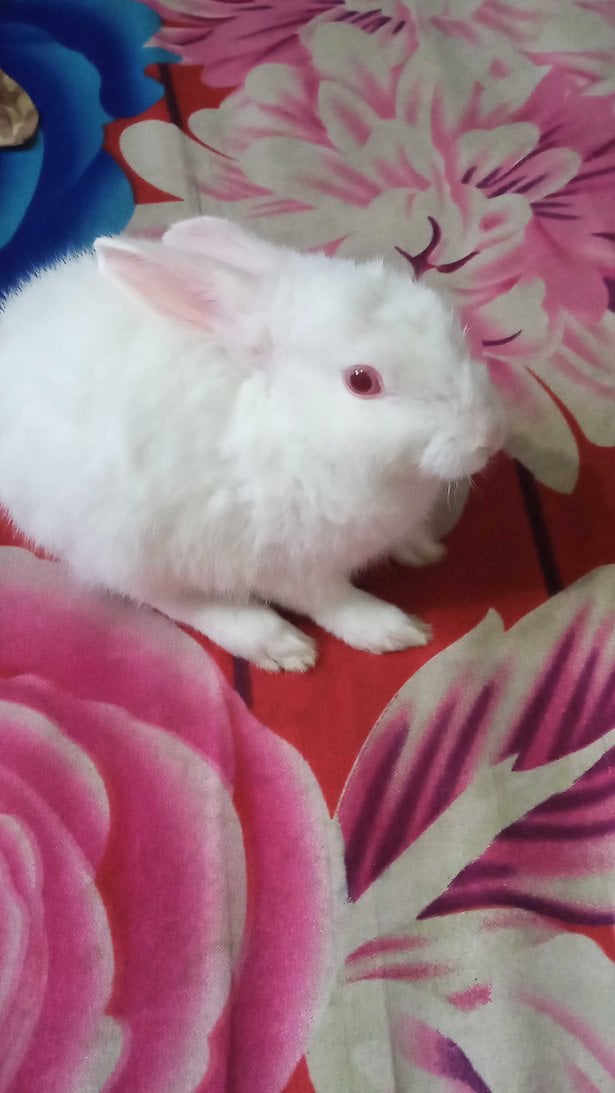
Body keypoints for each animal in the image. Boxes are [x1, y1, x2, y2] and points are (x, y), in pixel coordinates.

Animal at [0, 216, 506, 671]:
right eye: (362, 381)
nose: (489, 436)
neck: (292, 428)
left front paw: (423, 548)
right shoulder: (285, 563)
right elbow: (331, 600)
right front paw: (393, 630)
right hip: (122, 545)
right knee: (173, 600)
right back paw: (277, 644)